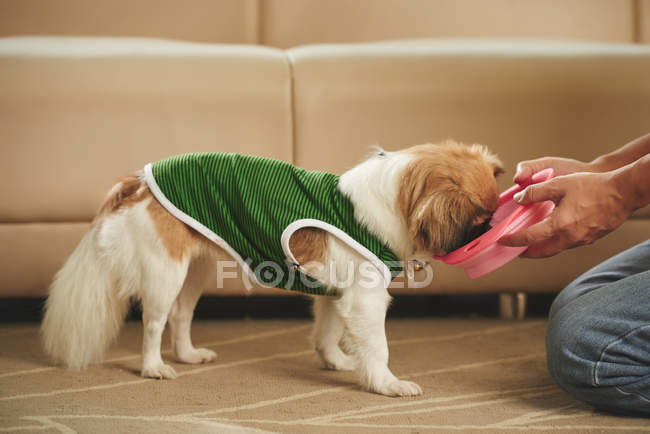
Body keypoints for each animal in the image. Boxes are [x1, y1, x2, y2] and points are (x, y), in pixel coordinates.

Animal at [40, 142, 502, 396]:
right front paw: (386, 383)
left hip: (195, 271)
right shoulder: (365, 299)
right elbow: (377, 348)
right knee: (154, 323)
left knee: (180, 316)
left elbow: (327, 333)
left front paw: (335, 361)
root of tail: (138, 180)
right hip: (165, 273)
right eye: (479, 219)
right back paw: (154, 367)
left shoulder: (336, 296)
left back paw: (188, 355)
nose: (493, 227)